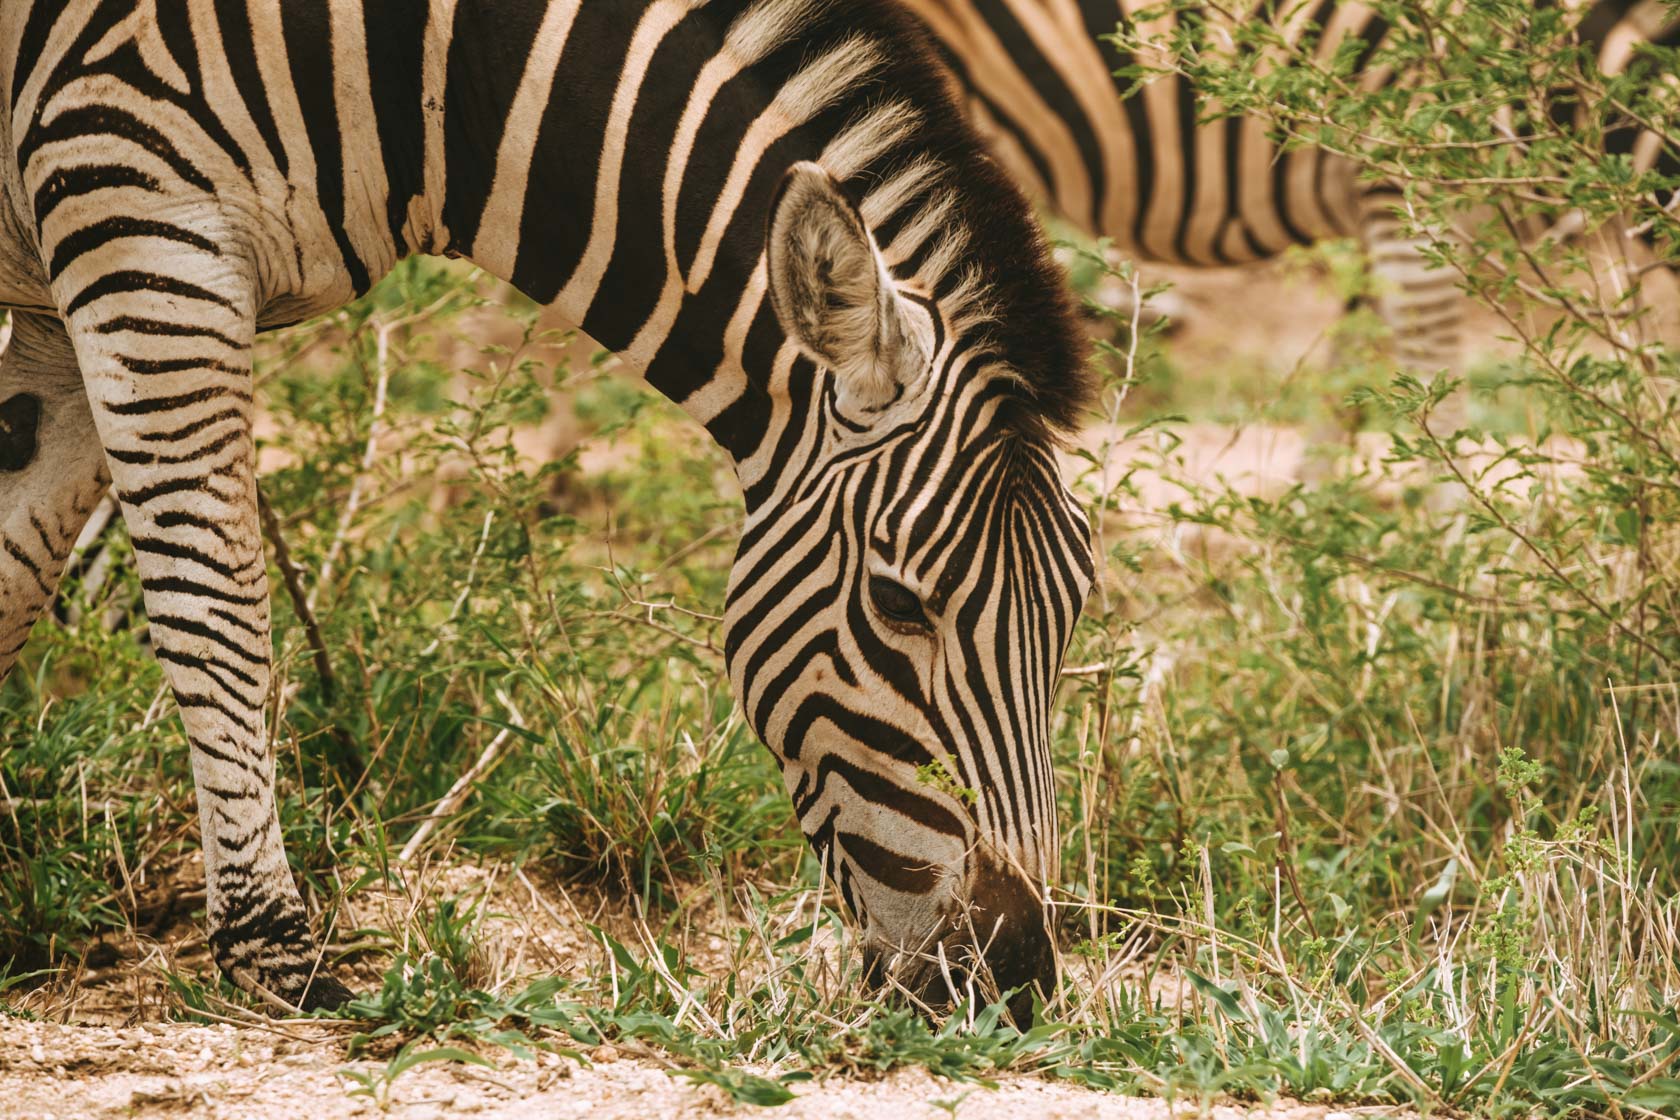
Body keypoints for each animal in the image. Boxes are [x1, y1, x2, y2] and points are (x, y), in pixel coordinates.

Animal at [0, 0, 1095, 1020]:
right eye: (899, 604)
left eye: (1075, 608)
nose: (1015, 984)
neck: (433, 75)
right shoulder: (141, 228)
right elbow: (217, 615)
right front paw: (276, 955)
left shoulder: (73, 284)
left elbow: (15, 561)